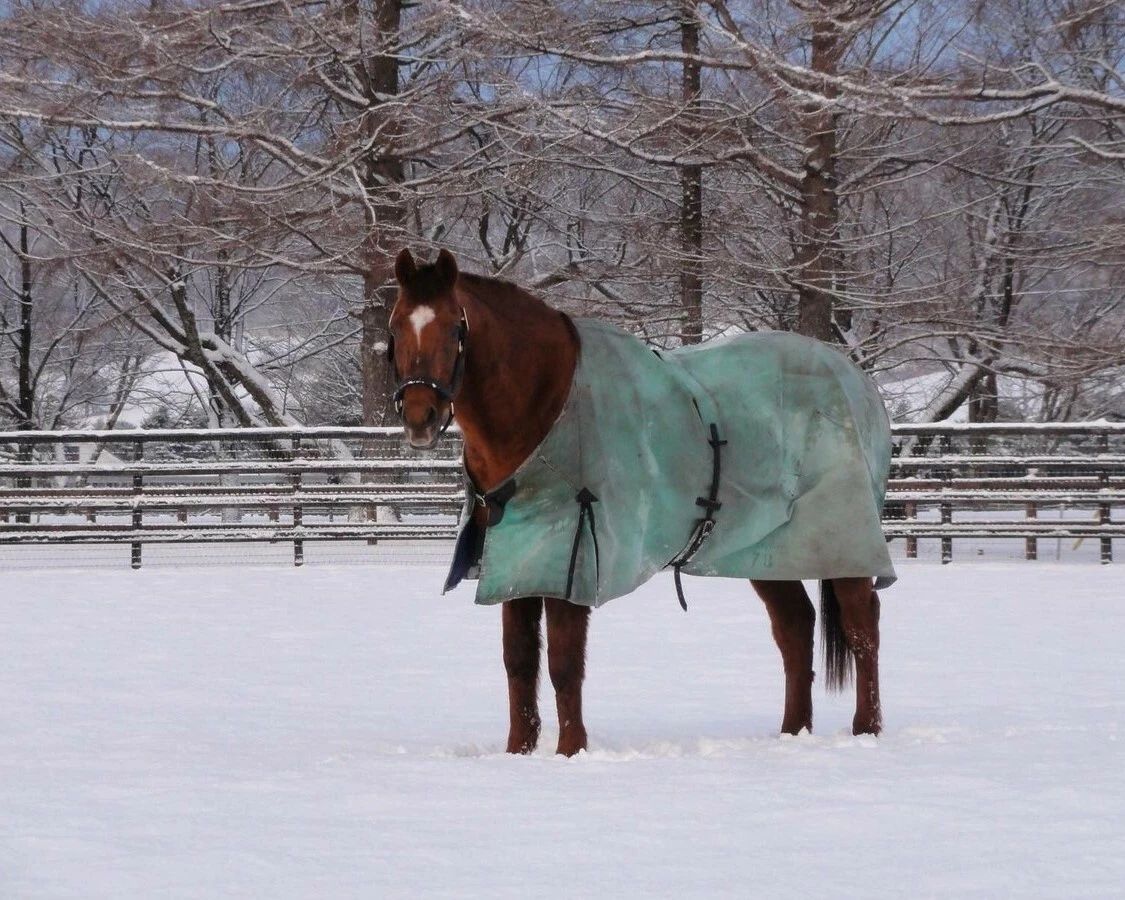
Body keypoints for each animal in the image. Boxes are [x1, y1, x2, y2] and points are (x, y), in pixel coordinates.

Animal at [388, 248, 885, 756]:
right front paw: (518, 751)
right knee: (795, 628)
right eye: (395, 327)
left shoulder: (572, 560)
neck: (543, 405)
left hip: (846, 540)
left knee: (862, 627)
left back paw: (866, 728)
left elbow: (564, 664)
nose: (420, 417)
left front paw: (570, 751)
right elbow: (520, 662)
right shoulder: (515, 560)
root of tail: (856, 381)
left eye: (456, 328)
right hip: (767, 550)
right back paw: (792, 731)